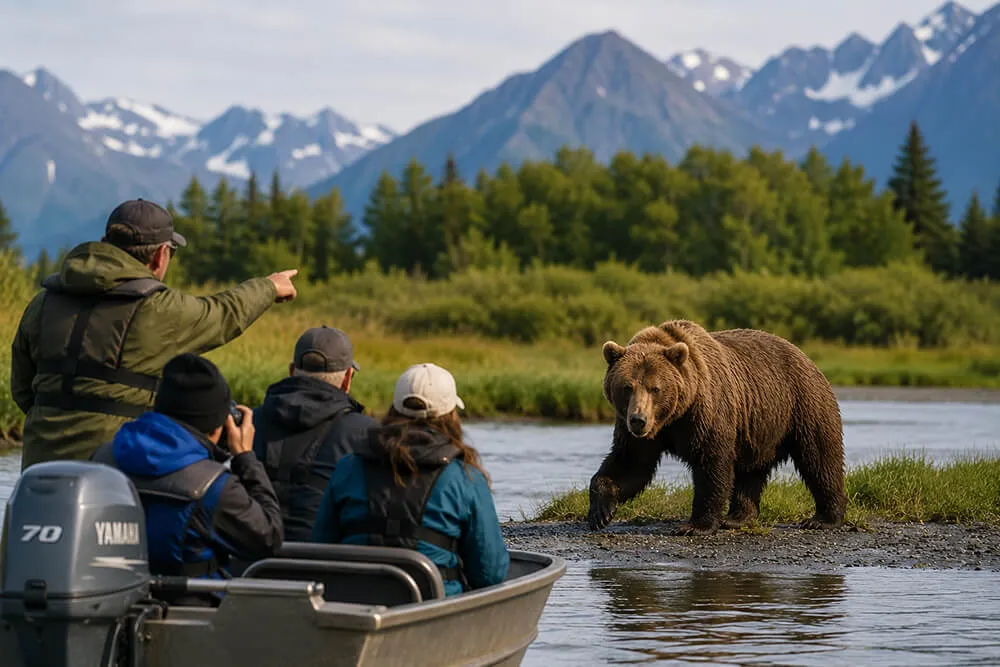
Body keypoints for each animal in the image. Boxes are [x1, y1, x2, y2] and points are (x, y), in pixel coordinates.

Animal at [588, 319, 846, 536]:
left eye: (655, 388)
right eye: (627, 387)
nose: (638, 420)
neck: (674, 417)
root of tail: (804, 355)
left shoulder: (707, 413)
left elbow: (711, 464)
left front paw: (695, 525)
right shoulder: (639, 433)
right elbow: (630, 464)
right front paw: (601, 512)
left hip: (802, 403)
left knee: (819, 456)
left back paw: (823, 518)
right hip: (757, 426)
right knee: (750, 471)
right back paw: (737, 518)